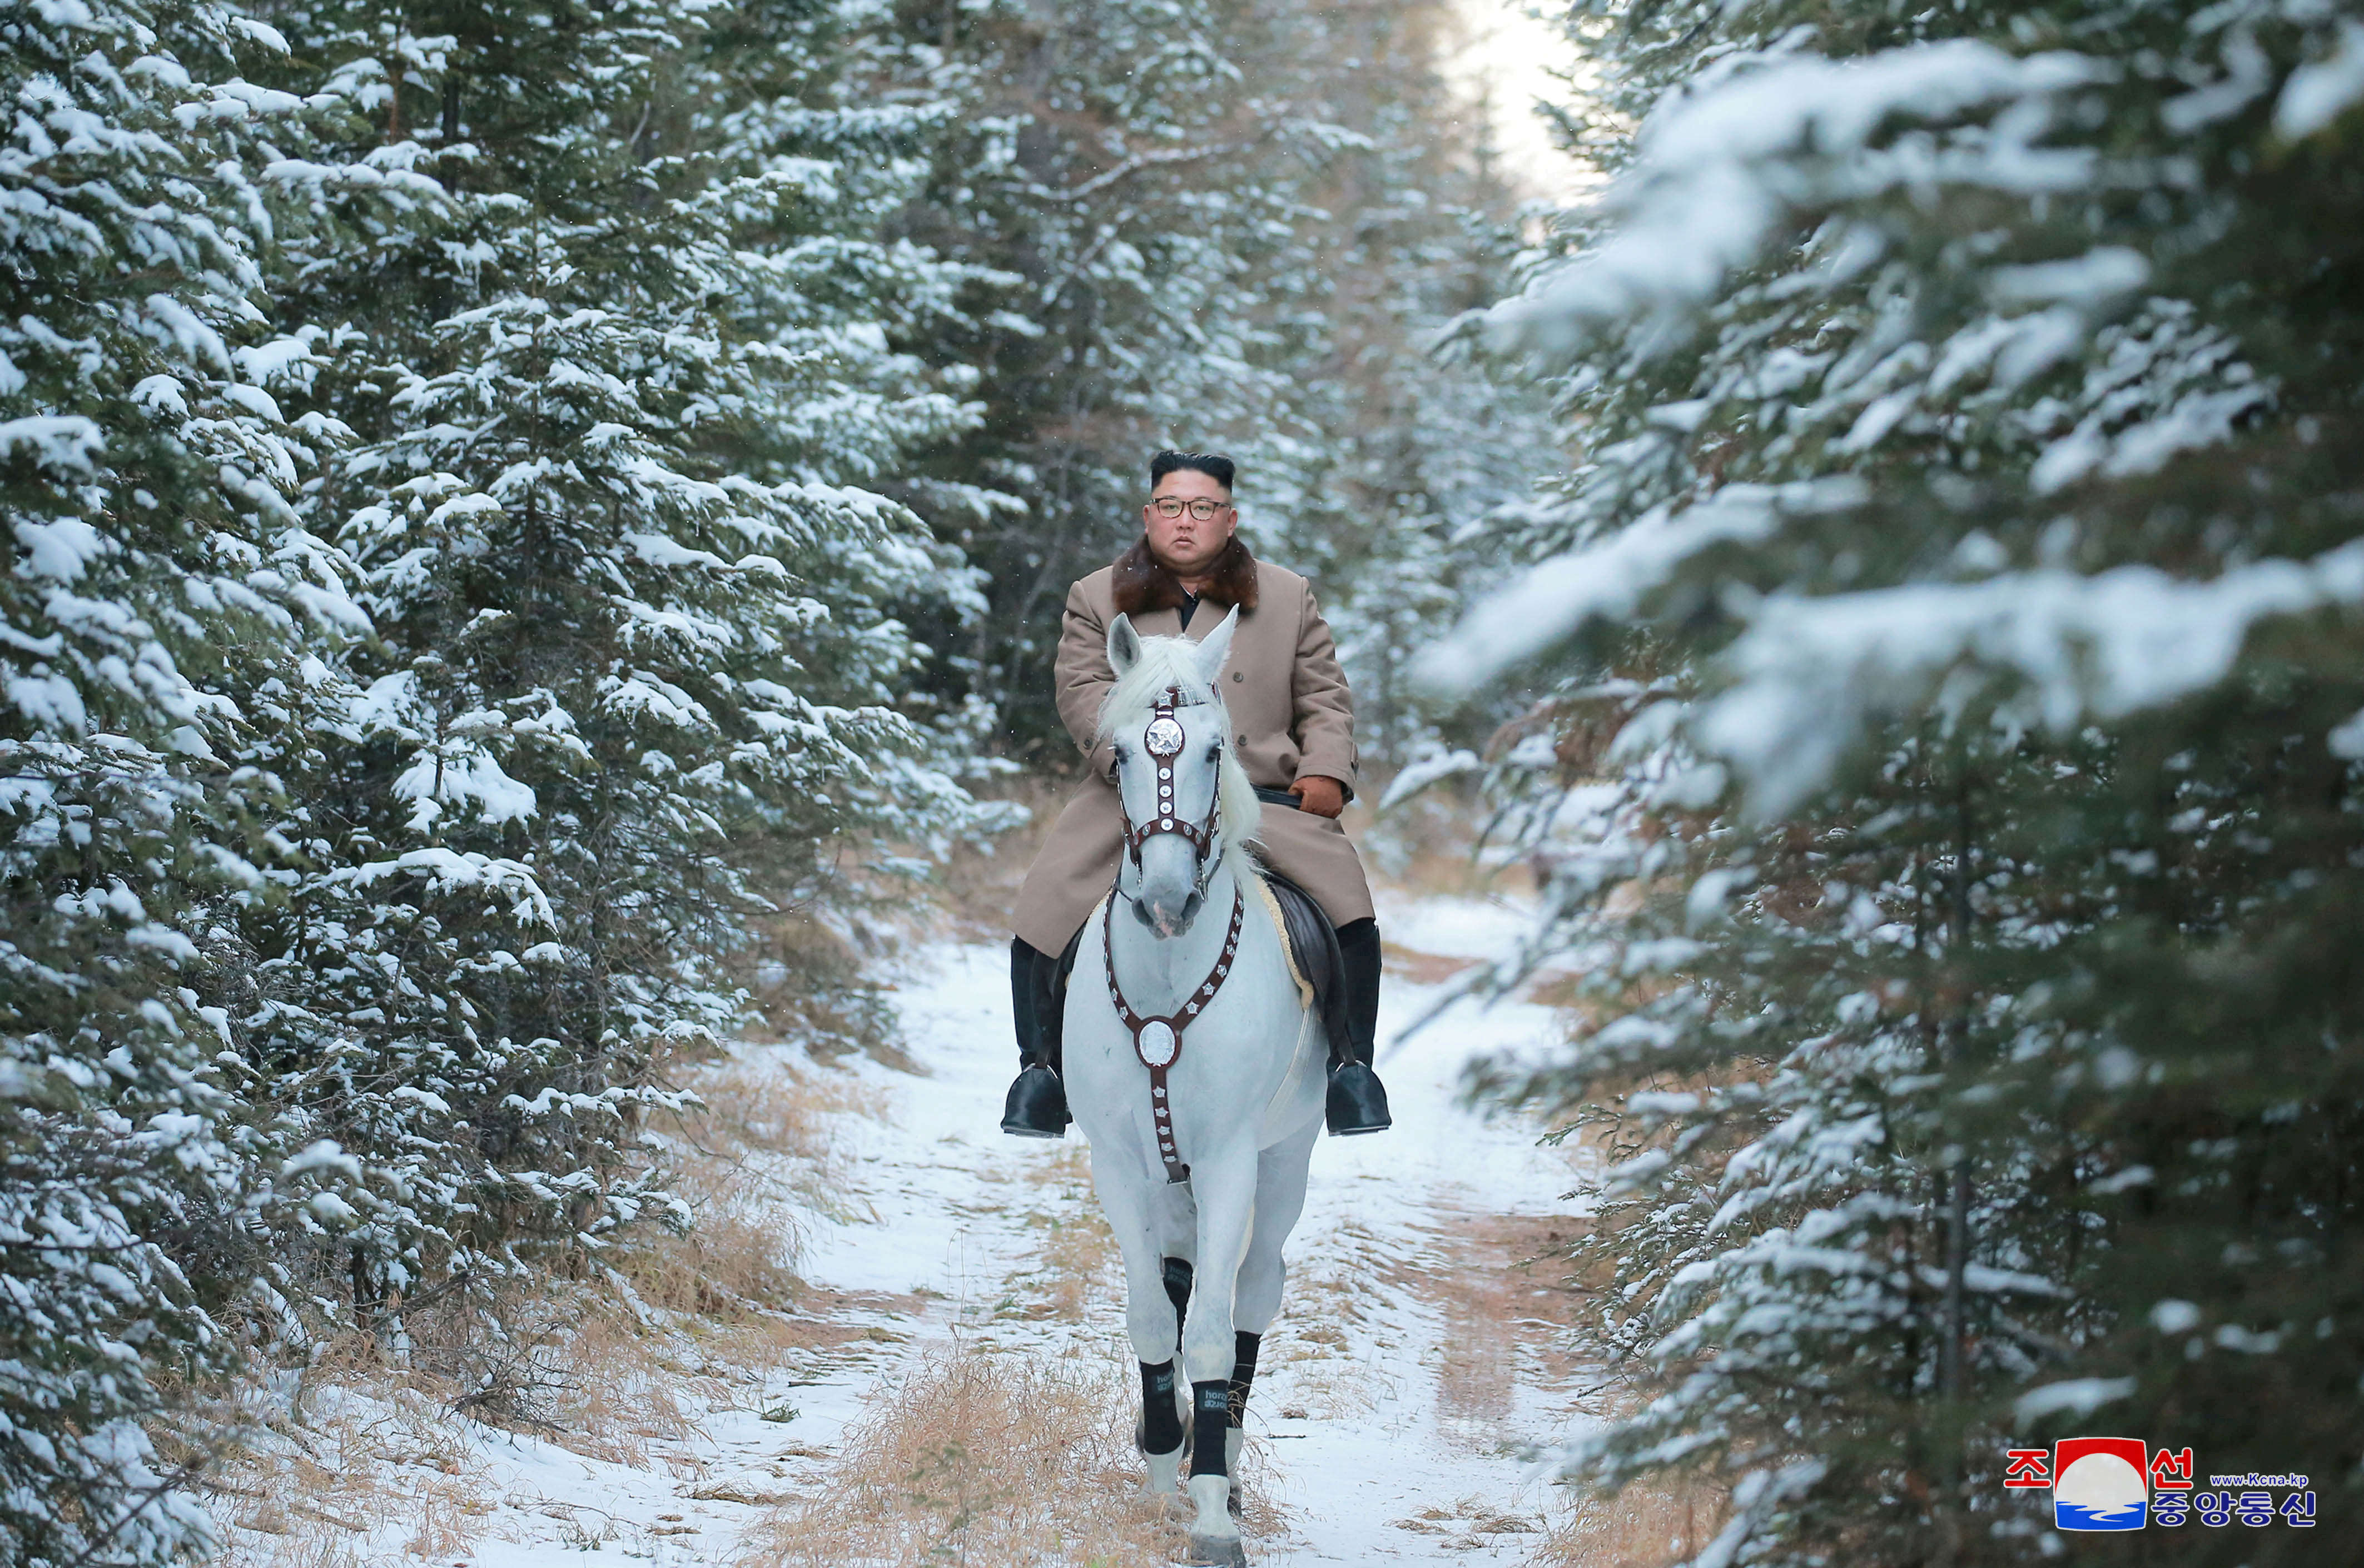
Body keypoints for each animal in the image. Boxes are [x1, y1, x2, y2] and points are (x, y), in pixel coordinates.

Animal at [1059, 610, 1324, 1568]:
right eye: (1120, 755)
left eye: (1216, 750)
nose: (1169, 898)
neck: (1171, 975)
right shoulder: (1119, 1164)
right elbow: (1151, 1315)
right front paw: (1162, 1465)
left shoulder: (1228, 1161)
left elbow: (1210, 1326)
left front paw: (1210, 1508)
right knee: (1176, 1281)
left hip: (1284, 1165)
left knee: (1251, 1294)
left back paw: (1230, 1462)